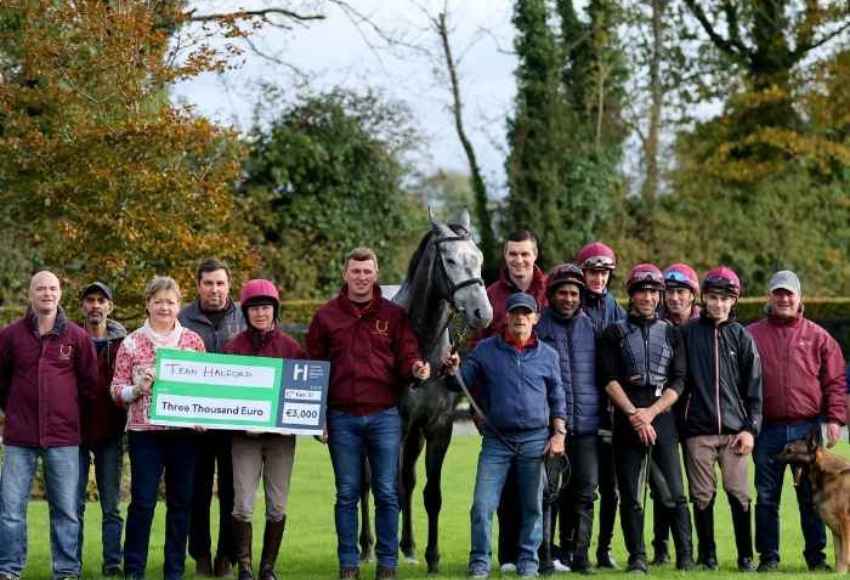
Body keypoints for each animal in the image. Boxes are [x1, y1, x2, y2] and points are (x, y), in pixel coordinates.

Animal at [776, 430, 848, 572]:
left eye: (789, 450)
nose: (772, 459)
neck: (826, 474)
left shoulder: (844, 523)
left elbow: (845, 553)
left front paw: (842, 571)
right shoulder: (836, 528)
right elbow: (838, 553)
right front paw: (838, 572)